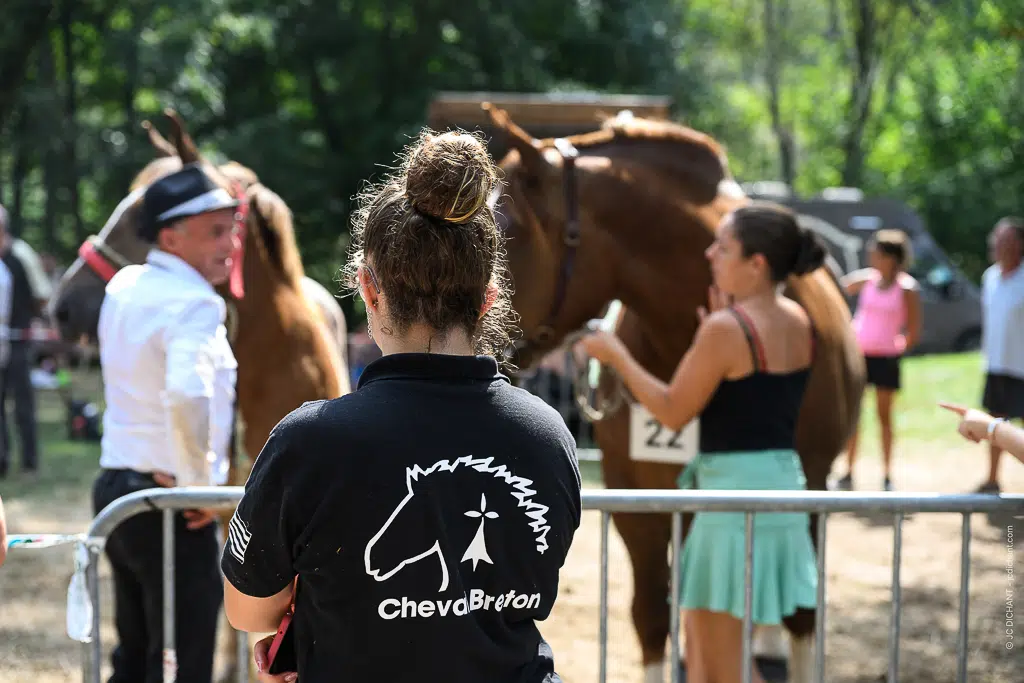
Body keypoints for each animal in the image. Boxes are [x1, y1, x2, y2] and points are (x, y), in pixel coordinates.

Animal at [482, 103, 865, 683]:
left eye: (504, 235)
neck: (683, 336)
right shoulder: (637, 503)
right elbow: (651, 617)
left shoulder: (808, 491)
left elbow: (801, 615)